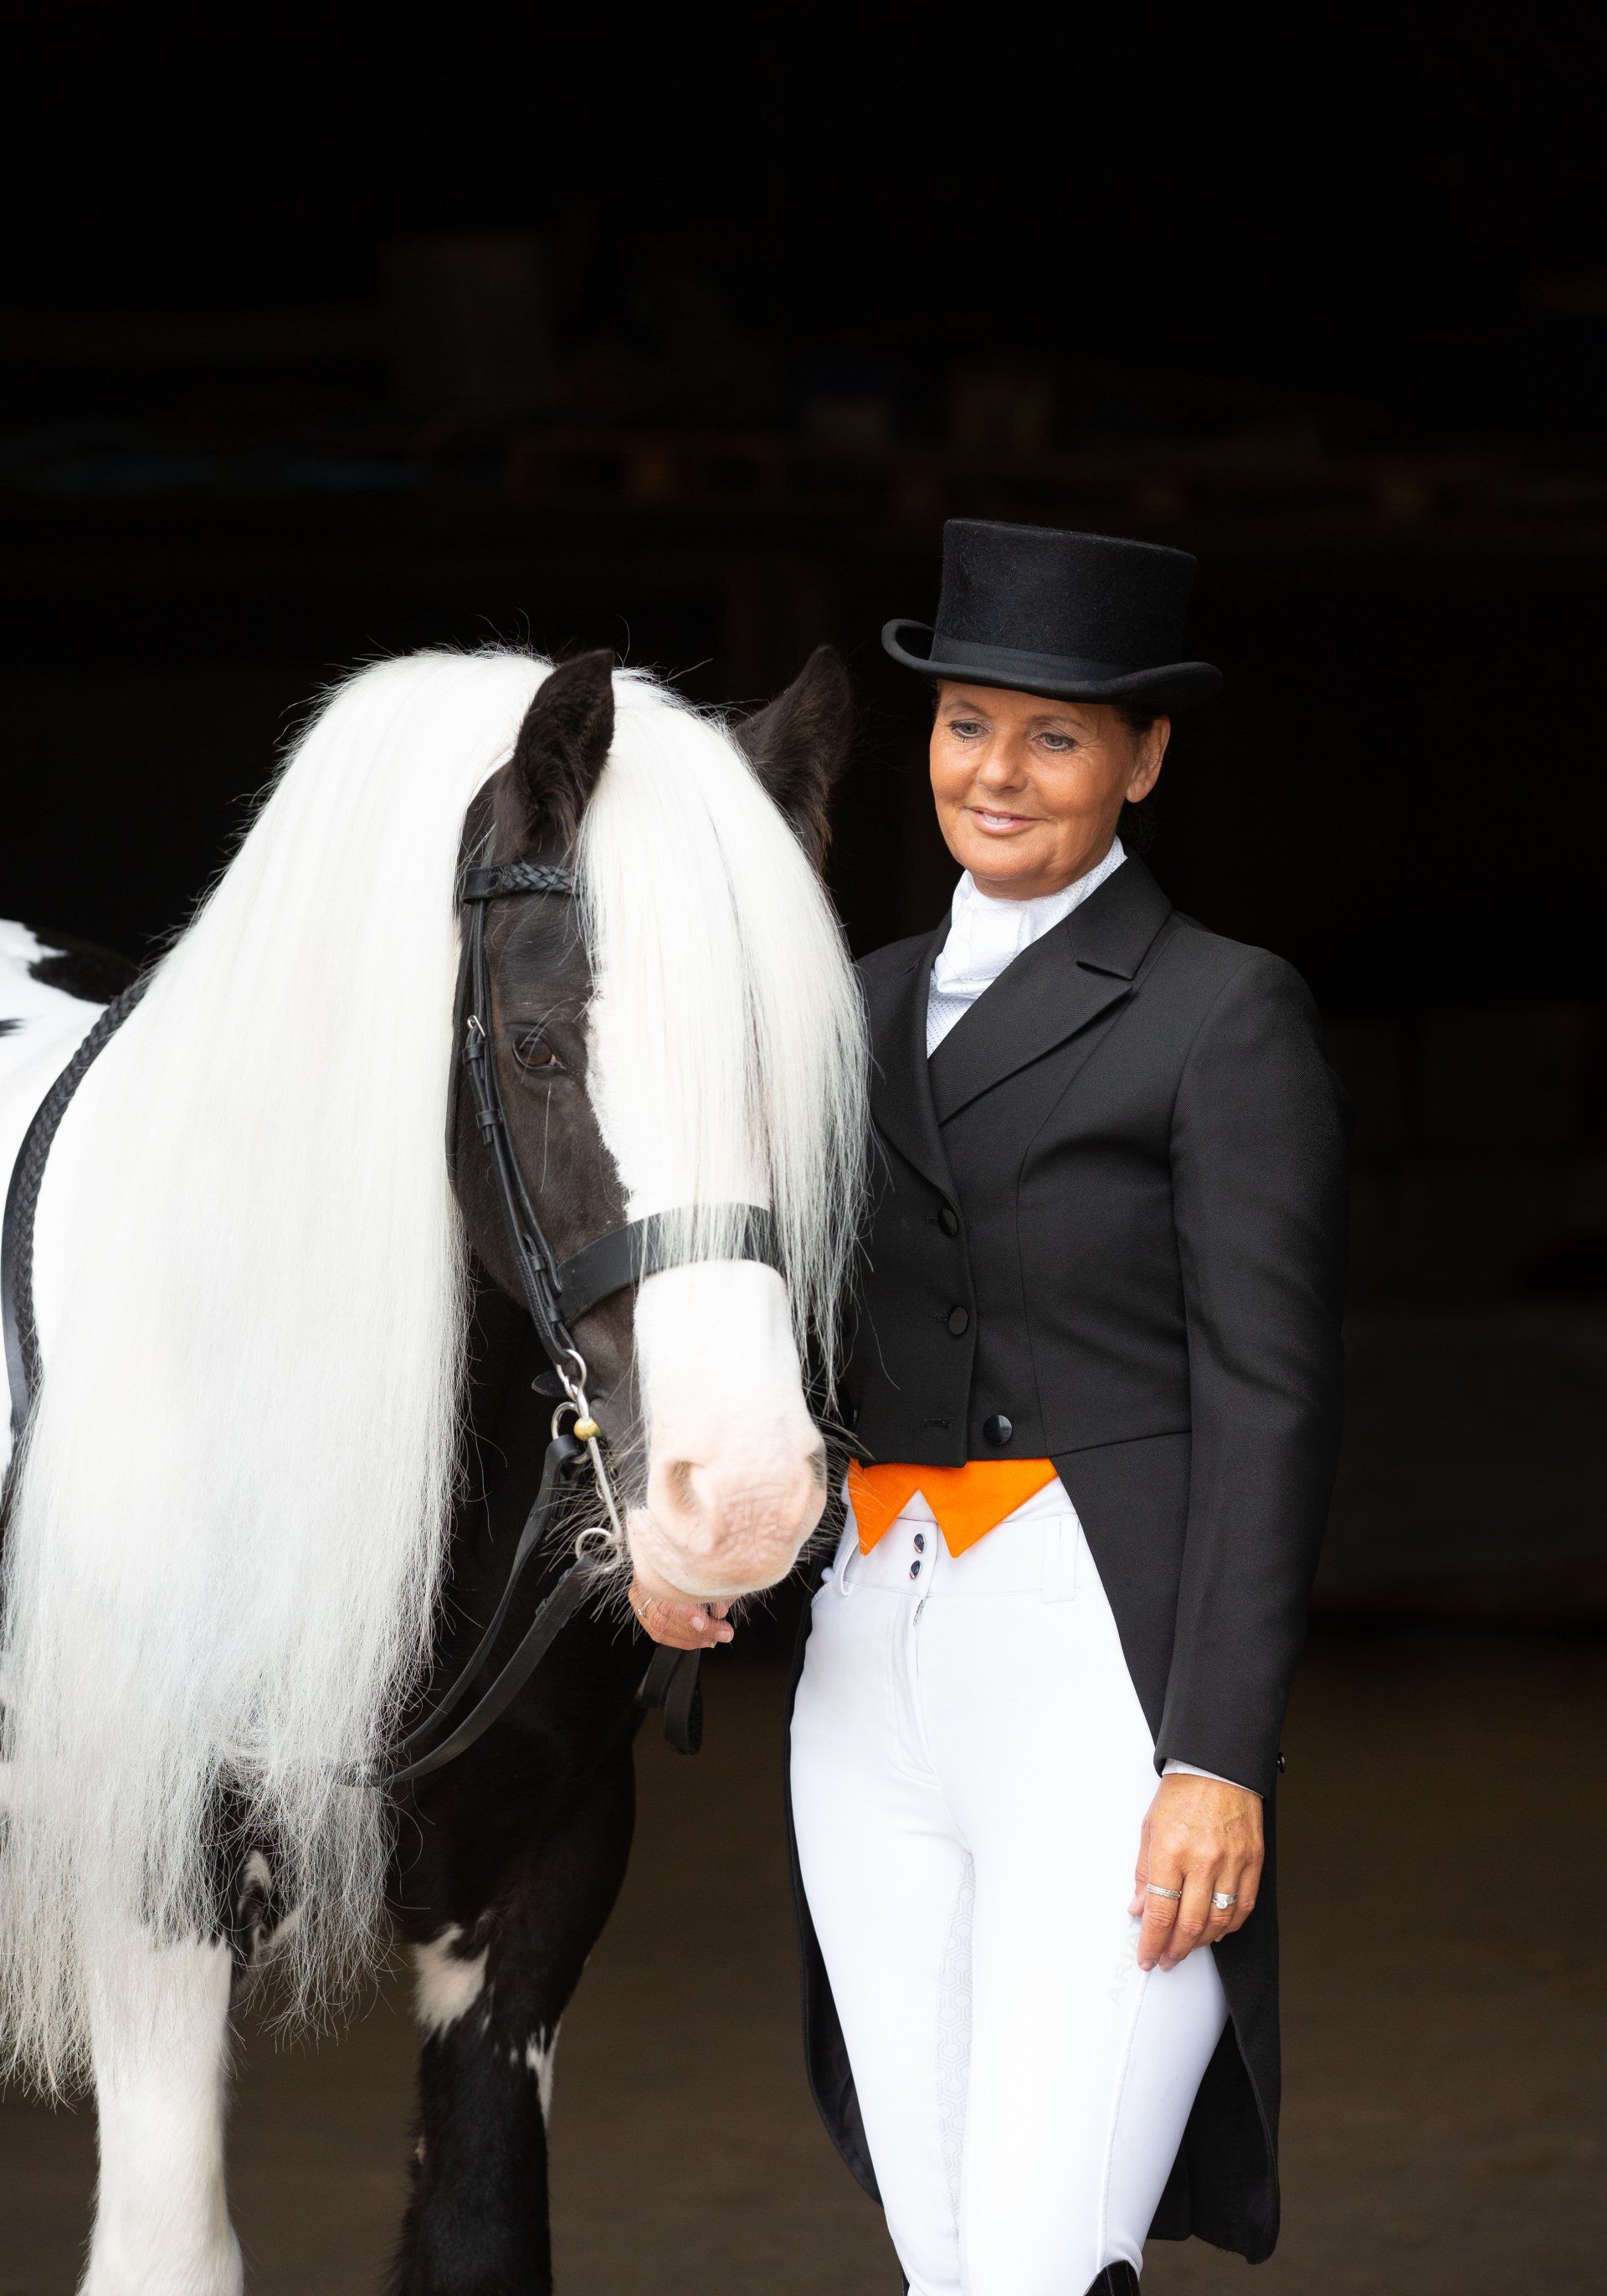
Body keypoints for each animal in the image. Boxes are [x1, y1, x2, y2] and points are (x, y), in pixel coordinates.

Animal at [0, 643, 868, 2295]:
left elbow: (479, 2236)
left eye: (774, 1061)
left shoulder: (539, 1878)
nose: (743, 1494)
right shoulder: (152, 1888)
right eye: (537, 1046)